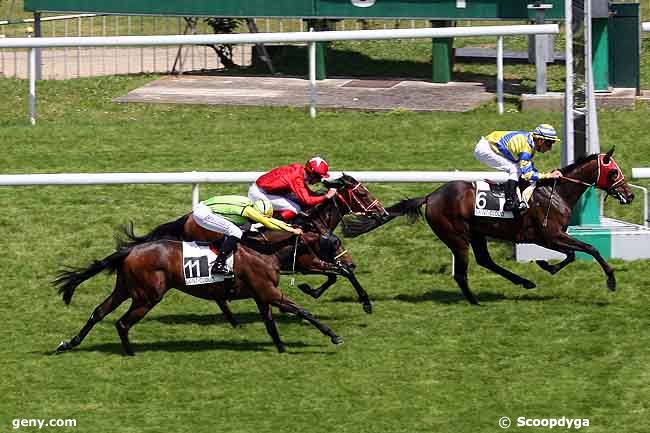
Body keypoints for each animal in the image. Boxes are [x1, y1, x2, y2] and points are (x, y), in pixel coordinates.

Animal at [53, 231, 342, 352]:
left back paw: (69, 343)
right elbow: (303, 311)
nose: (340, 266)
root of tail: (130, 250)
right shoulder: (269, 292)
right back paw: (131, 353)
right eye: (329, 245)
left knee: (99, 312)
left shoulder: (262, 296)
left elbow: (271, 326)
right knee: (122, 323)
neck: (265, 253)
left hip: (125, 289)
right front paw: (334, 336)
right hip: (147, 296)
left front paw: (281, 349)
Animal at [121, 174, 384, 312]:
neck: (311, 221)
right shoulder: (305, 260)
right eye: (362, 194)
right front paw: (366, 303)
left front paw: (311, 290)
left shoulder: (307, 260)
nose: (381, 213)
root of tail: (187, 218)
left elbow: (335, 274)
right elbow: (339, 272)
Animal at [344, 148, 632, 304]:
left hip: (477, 232)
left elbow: (573, 254)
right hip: (456, 236)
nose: (629, 195)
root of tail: (431, 196)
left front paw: (545, 265)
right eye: (613, 172)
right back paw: (474, 301)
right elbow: (588, 249)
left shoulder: (552, 237)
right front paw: (611, 281)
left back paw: (523, 282)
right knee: (462, 272)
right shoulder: (549, 235)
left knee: (485, 260)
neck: (555, 193)